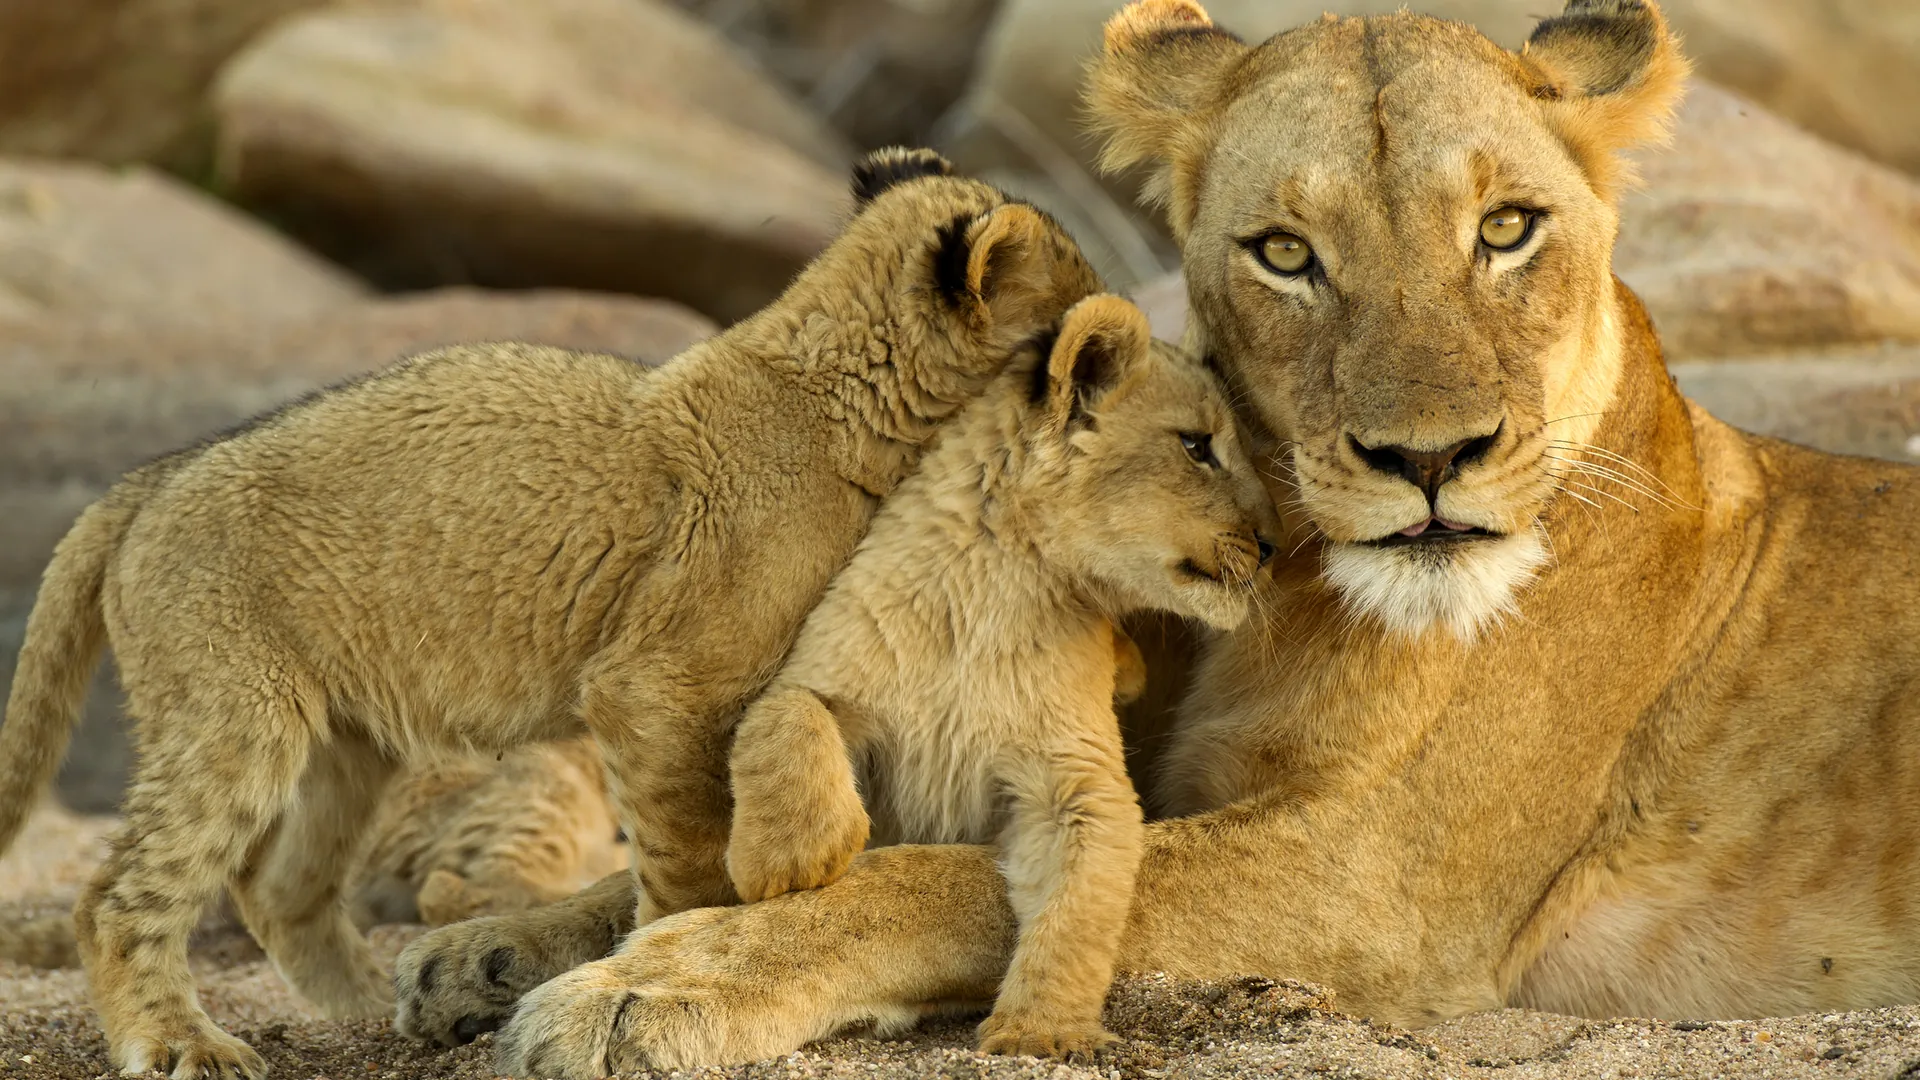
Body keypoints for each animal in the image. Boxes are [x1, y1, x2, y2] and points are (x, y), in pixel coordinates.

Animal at [0, 146, 1102, 1079]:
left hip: (347, 739)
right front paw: (664, 950)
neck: (836, 392)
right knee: (117, 898)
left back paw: (377, 1007)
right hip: (235, 714)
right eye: (1082, 299)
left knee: (277, 886)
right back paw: (183, 1044)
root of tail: (148, 479)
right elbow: (689, 852)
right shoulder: (659, 686)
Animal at [489, 296, 1279, 1073]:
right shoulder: (818, 664)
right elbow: (784, 718)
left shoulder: (1076, 775)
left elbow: (1080, 905)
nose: (1272, 544)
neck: (1001, 583)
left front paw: (1042, 1031)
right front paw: (791, 861)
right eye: (1197, 446)